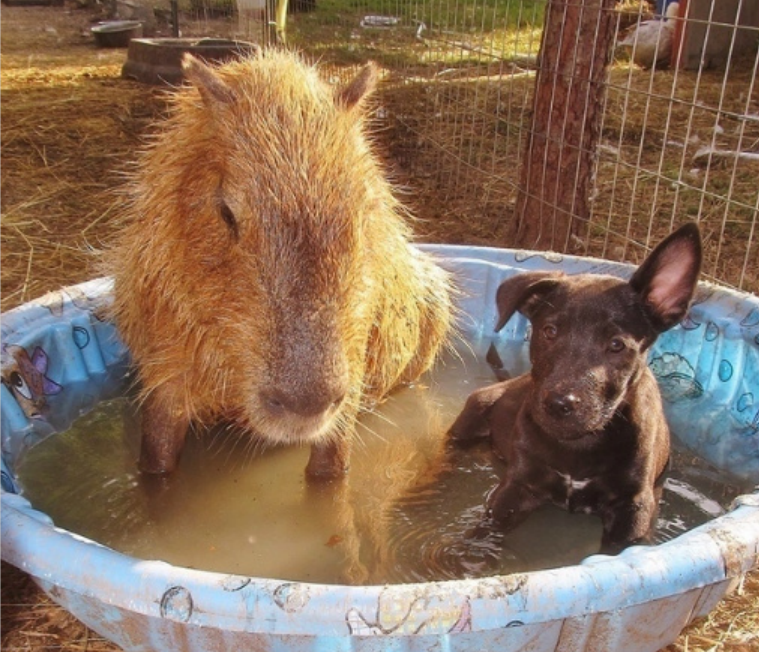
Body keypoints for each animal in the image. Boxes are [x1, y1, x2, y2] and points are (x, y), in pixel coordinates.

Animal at [448, 224, 704, 556]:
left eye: (616, 345)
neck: (580, 445)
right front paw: (464, 559)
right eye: (549, 331)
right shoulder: (517, 486)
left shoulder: (633, 506)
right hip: (470, 419)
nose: (559, 404)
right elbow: (485, 531)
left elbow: (617, 552)